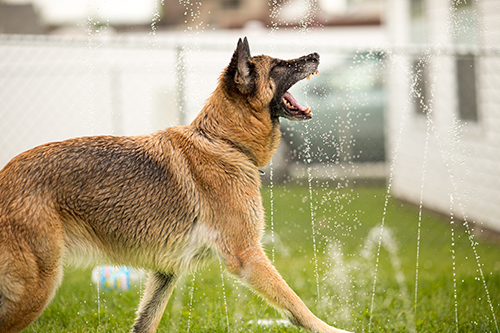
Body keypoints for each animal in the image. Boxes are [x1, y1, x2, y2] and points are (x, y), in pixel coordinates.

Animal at [0, 37, 350, 332]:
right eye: (278, 65)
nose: (316, 54)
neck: (224, 142)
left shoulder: (165, 272)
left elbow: (145, 322)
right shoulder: (247, 255)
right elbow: (296, 304)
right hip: (36, 288)